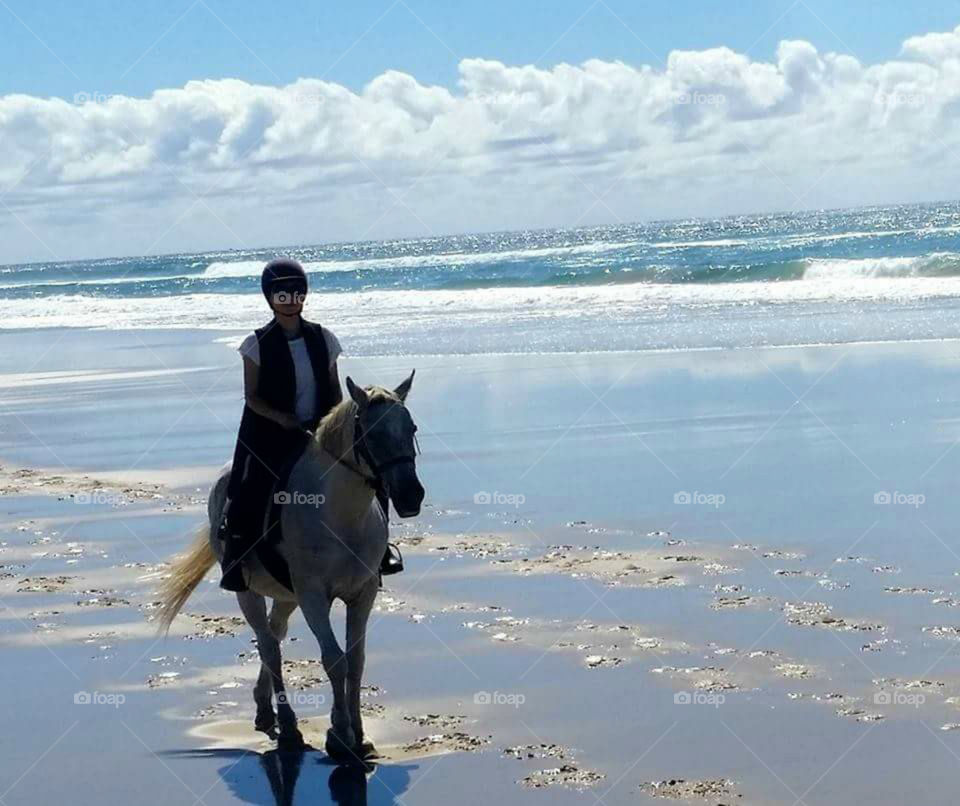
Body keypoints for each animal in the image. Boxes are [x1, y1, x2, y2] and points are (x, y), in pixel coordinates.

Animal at [156, 372, 424, 764]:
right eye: (371, 435)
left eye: (412, 428)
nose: (411, 496)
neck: (341, 515)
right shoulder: (313, 596)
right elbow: (335, 660)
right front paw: (340, 735)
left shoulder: (362, 593)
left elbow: (356, 659)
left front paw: (359, 735)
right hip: (250, 592)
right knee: (269, 645)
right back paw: (287, 725)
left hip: (287, 595)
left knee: (275, 632)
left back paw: (263, 705)